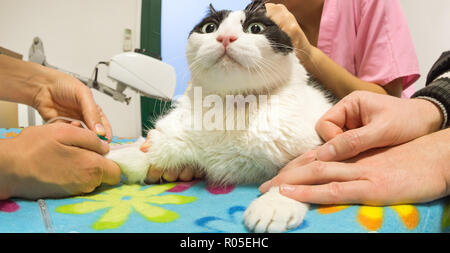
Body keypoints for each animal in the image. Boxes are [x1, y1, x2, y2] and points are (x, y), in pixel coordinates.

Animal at [108, 0, 334, 232]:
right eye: (210, 28)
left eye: (255, 28)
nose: (225, 37)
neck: (232, 107)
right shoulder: (179, 135)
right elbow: (152, 149)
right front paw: (114, 154)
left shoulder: (316, 141)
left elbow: (300, 172)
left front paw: (273, 205)